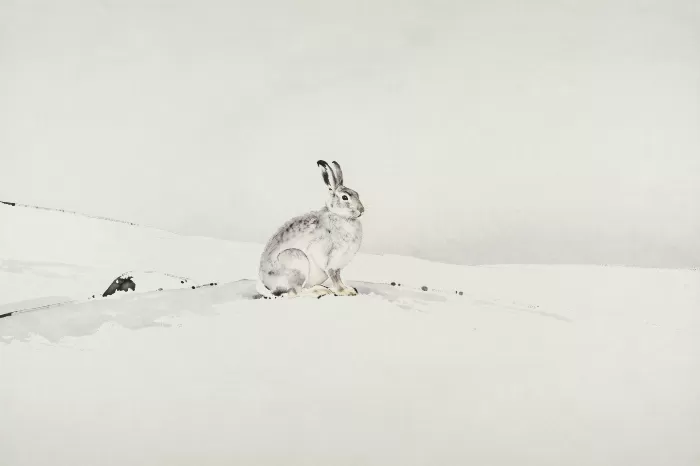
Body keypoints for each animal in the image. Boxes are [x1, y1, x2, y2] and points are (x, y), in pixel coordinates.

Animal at [257, 160, 365, 298]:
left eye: (357, 194)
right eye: (345, 197)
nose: (362, 210)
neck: (339, 215)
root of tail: (267, 284)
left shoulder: (338, 265)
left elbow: (338, 277)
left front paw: (348, 289)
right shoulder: (329, 260)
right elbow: (334, 276)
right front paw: (344, 291)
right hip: (297, 261)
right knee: (295, 292)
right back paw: (319, 291)